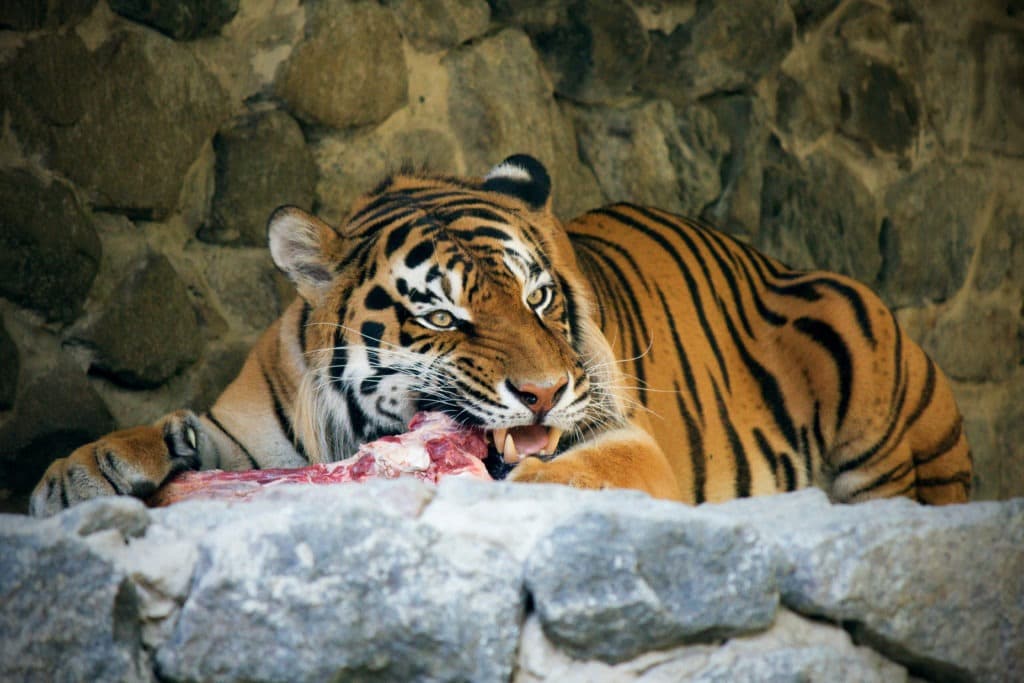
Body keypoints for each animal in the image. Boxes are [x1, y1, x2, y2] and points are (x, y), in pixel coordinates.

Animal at [28, 156, 970, 518]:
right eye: (443, 316)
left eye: (541, 297)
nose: (544, 391)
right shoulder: (247, 433)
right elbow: (157, 430)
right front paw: (78, 471)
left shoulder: (627, 438)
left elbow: (570, 471)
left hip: (863, 347)